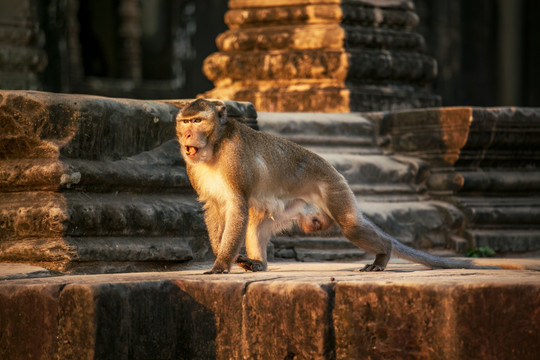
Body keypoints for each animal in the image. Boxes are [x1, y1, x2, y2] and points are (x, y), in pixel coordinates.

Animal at [176, 98, 494, 272]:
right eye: (184, 122)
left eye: (198, 121)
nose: (187, 135)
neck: (215, 147)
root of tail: (330, 167)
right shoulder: (193, 167)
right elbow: (214, 207)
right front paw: (225, 257)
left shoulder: (234, 159)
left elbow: (238, 206)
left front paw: (220, 265)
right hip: (292, 207)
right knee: (257, 226)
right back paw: (259, 264)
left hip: (333, 187)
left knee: (351, 226)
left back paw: (384, 254)